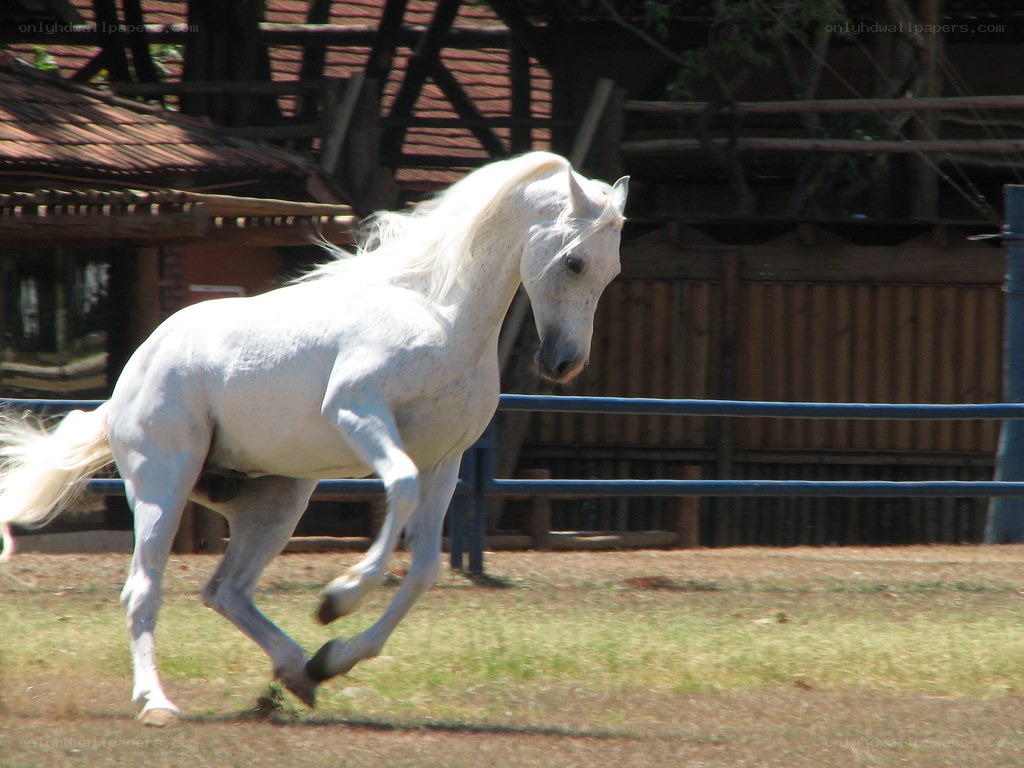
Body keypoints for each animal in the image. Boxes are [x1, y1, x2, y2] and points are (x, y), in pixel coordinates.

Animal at [0, 151, 628, 725]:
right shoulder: (359, 414)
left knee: (226, 590)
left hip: (277, 502)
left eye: (612, 273)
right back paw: (156, 702)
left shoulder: (444, 463)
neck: (439, 315)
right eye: (575, 262)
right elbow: (398, 491)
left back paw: (300, 670)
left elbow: (424, 569)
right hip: (164, 486)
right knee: (143, 590)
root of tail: (125, 386)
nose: (564, 363)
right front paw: (338, 597)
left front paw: (336, 653)